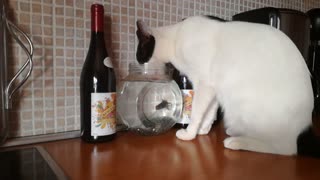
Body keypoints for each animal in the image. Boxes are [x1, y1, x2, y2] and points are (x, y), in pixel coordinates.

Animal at [136, 16, 314, 155]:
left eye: (139, 53)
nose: (137, 62)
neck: (175, 38)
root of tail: (302, 128)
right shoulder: (214, 88)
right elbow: (209, 112)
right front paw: (203, 130)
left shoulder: (204, 84)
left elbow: (197, 112)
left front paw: (189, 133)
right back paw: (236, 133)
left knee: (285, 149)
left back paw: (236, 142)